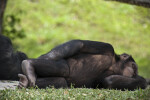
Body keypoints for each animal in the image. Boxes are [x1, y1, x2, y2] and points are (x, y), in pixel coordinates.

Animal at [17, 40, 148, 90]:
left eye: (135, 70)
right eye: (134, 66)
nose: (135, 73)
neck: (114, 65)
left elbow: (109, 81)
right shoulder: (108, 47)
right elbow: (79, 44)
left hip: (63, 81)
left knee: (61, 81)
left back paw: (25, 81)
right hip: (63, 62)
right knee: (64, 68)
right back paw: (28, 65)